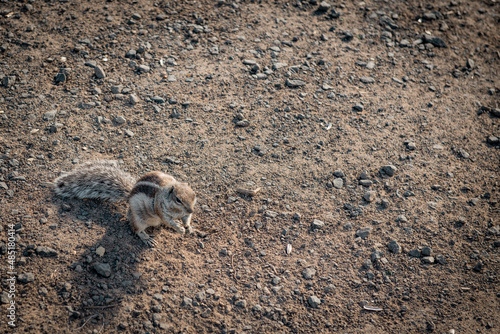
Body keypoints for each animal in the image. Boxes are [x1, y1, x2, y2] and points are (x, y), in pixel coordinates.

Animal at [53, 159, 196, 245]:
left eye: (194, 195)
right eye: (178, 200)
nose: (191, 210)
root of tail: (129, 195)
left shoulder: (184, 213)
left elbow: (186, 218)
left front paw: (188, 227)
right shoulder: (160, 209)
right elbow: (167, 220)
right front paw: (179, 228)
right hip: (138, 219)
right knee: (136, 229)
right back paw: (146, 238)